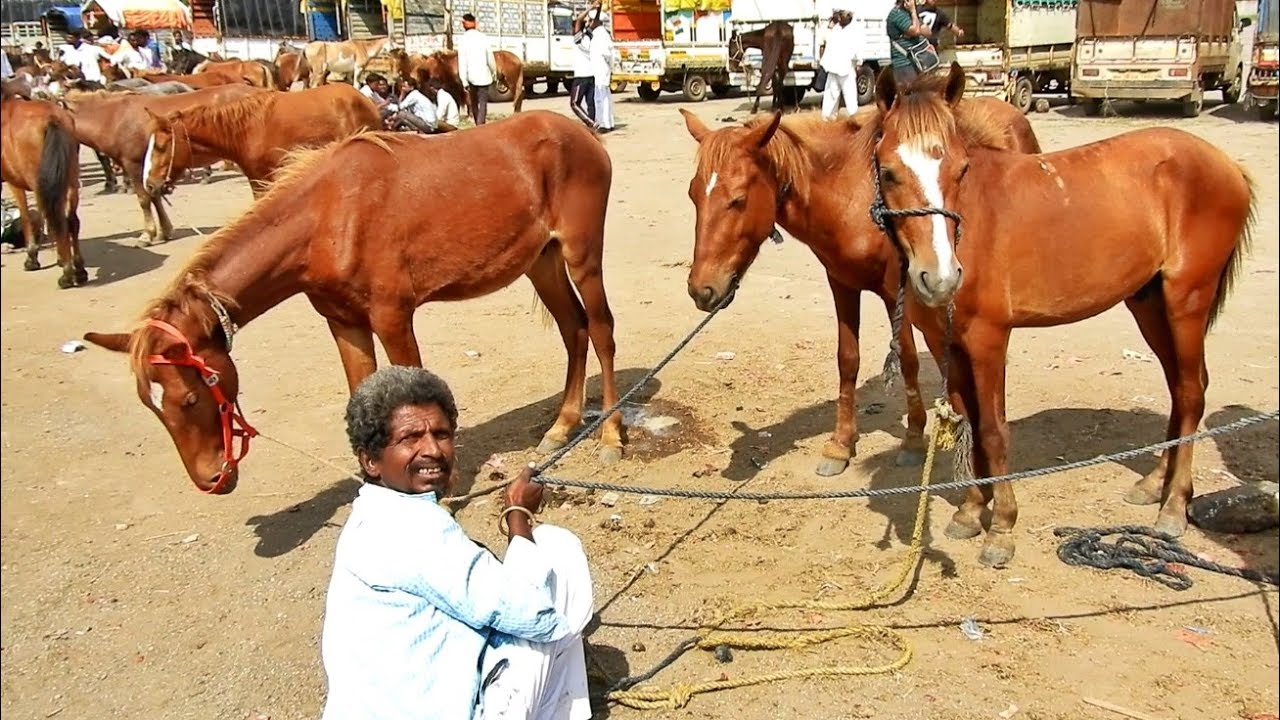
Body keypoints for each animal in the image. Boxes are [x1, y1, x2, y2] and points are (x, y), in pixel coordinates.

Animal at [0, 95, 84, 288]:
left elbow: (25, 217)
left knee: (57, 220)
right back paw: (79, 269)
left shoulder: (14, 183)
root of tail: (52, 119)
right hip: (69, 180)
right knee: (70, 221)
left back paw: (67, 275)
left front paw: (32, 258)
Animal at [61, 84, 265, 244]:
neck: (114, 118)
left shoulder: (134, 164)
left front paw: (147, 235)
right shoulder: (151, 171)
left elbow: (144, 199)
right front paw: (164, 231)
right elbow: (155, 196)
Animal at [83, 110, 623, 494]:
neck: (327, 218)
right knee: (572, 329)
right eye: (152, 408)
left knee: (600, 329)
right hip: (542, 261)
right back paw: (562, 426)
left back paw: (611, 435)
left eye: (190, 398)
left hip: (581, 254)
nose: (211, 478)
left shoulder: (393, 316)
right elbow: (360, 390)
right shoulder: (344, 323)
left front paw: (443, 487)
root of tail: (584, 135)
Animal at [678, 97, 1041, 476]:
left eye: (738, 200)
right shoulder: (841, 282)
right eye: (693, 195)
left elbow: (907, 358)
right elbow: (847, 359)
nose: (702, 290)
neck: (851, 195)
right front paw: (840, 444)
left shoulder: (897, 292)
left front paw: (913, 439)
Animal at [869, 64, 1256, 567]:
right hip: (1149, 303)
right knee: (1180, 387)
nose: (940, 277)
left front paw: (1002, 528)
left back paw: (1174, 506)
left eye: (961, 169)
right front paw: (971, 512)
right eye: (889, 172)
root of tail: (1228, 165)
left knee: (1192, 392)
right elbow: (964, 417)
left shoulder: (989, 338)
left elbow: (992, 429)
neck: (971, 224)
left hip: (1186, 300)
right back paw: (1154, 484)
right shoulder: (944, 339)